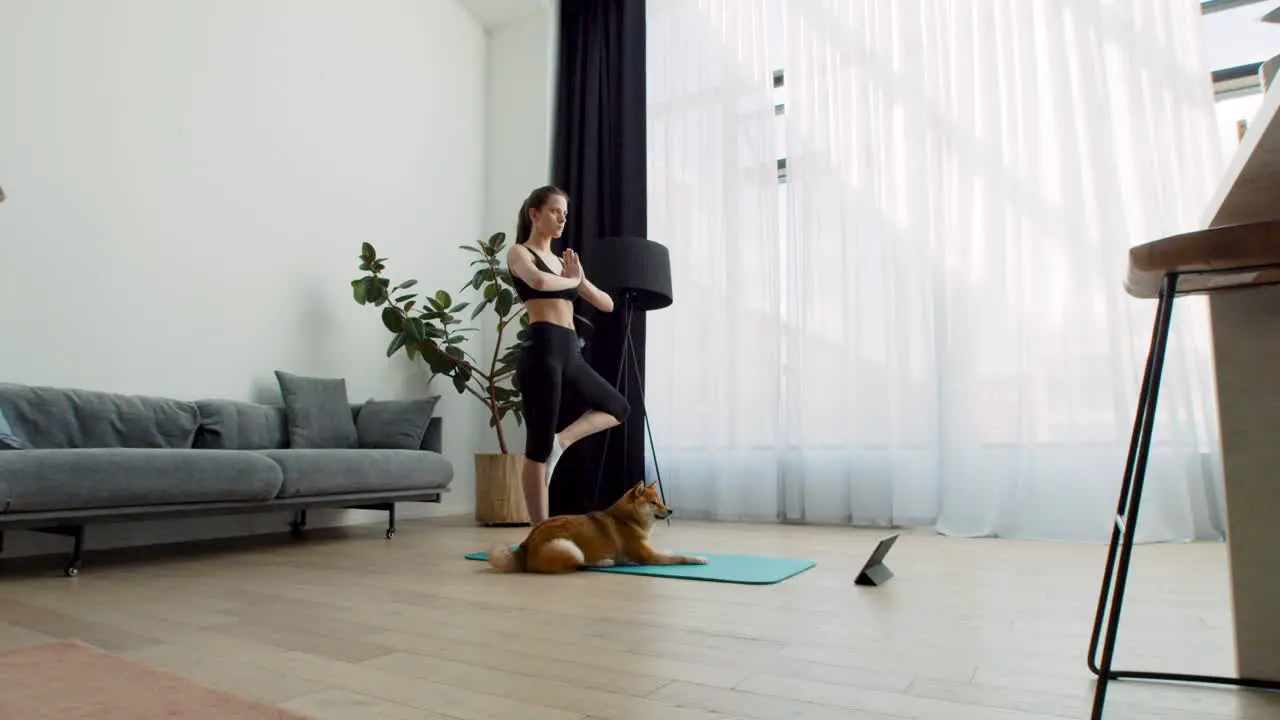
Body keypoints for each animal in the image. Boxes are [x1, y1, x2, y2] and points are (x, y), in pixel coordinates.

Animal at [488, 479, 711, 573]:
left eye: (661, 500)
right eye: (653, 502)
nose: (671, 510)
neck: (627, 518)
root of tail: (525, 546)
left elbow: (670, 551)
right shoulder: (650, 556)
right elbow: (678, 557)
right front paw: (699, 558)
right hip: (569, 547)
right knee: (580, 564)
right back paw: (605, 562)